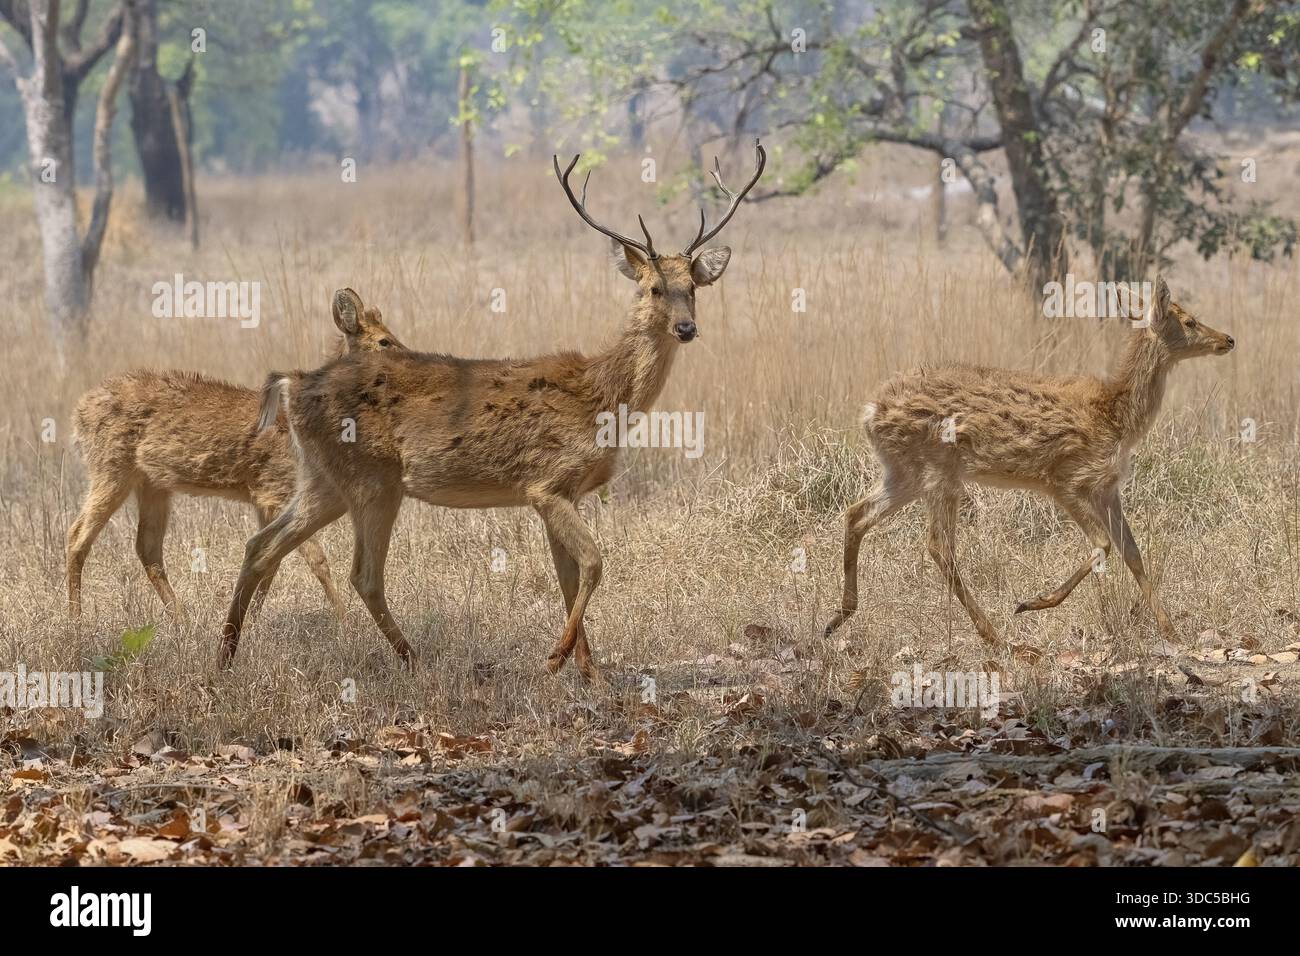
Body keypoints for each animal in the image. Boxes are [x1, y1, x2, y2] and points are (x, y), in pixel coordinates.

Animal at [67, 289, 406, 620]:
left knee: (147, 547)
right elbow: (314, 558)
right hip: (110, 467)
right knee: (77, 535)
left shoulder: (264, 497)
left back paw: (180, 617)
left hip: (152, 484)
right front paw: (345, 619)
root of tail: (79, 409)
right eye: (383, 340)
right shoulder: (276, 488)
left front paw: (251, 620)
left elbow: (270, 561)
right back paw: (76, 619)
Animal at [216, 141, 767, 680]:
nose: (686, 328)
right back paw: (415, 661)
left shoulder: (563, 492)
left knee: (260, 545)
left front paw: (589, 672)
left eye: (692, 288)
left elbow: (568, 577)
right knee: (363, 574)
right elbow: (593, 562)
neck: (604, 398)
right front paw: (556, 657)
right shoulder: (545, 482)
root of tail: (291, 382)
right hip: (373, 477)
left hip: (325, 479)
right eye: (653, 287)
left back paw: (225, 655)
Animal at [823, 276, 1235, 648]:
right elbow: (1101, 544)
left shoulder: (1107, 488)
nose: (1228, 339)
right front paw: (1033, 603)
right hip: (940, 469)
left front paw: (1171, 631)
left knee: (856, 513)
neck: (1117, 418)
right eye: (1189, 321)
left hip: (904, 470)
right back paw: (995, 636)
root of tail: (870, 412)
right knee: (939, 545)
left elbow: (1132, 553)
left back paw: (837, 618)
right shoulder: (1064, 478)